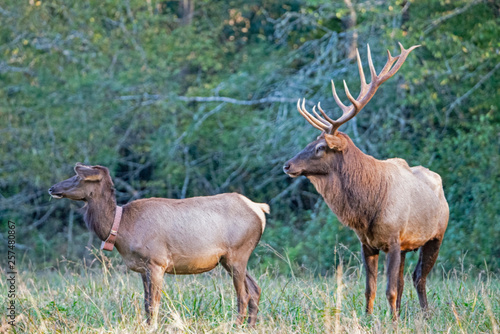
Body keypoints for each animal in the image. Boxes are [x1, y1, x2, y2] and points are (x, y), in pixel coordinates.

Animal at [48, 164, 270, 326]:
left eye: (78, 177)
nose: (52, 188)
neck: (121, 229)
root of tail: (260, 209)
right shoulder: (142, 267)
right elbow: (146, 303)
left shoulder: (157, 261)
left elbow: (154, 303)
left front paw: (153, 326)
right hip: (229, 259)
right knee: (255, 289)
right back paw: (250, 326)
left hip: (237, 253)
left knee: (243, 294)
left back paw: (237, 326)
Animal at [284, 42, 452, 318]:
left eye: (320, 147)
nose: (287, 165)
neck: (367, 209)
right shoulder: (368, 243)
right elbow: (370, 289)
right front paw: (369, 318)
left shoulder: (394, 239)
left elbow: (390, 289)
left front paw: (392, 322)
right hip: (408, 245)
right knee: (405, 280)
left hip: (436, 235)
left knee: (419, 277)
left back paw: (426, 314)